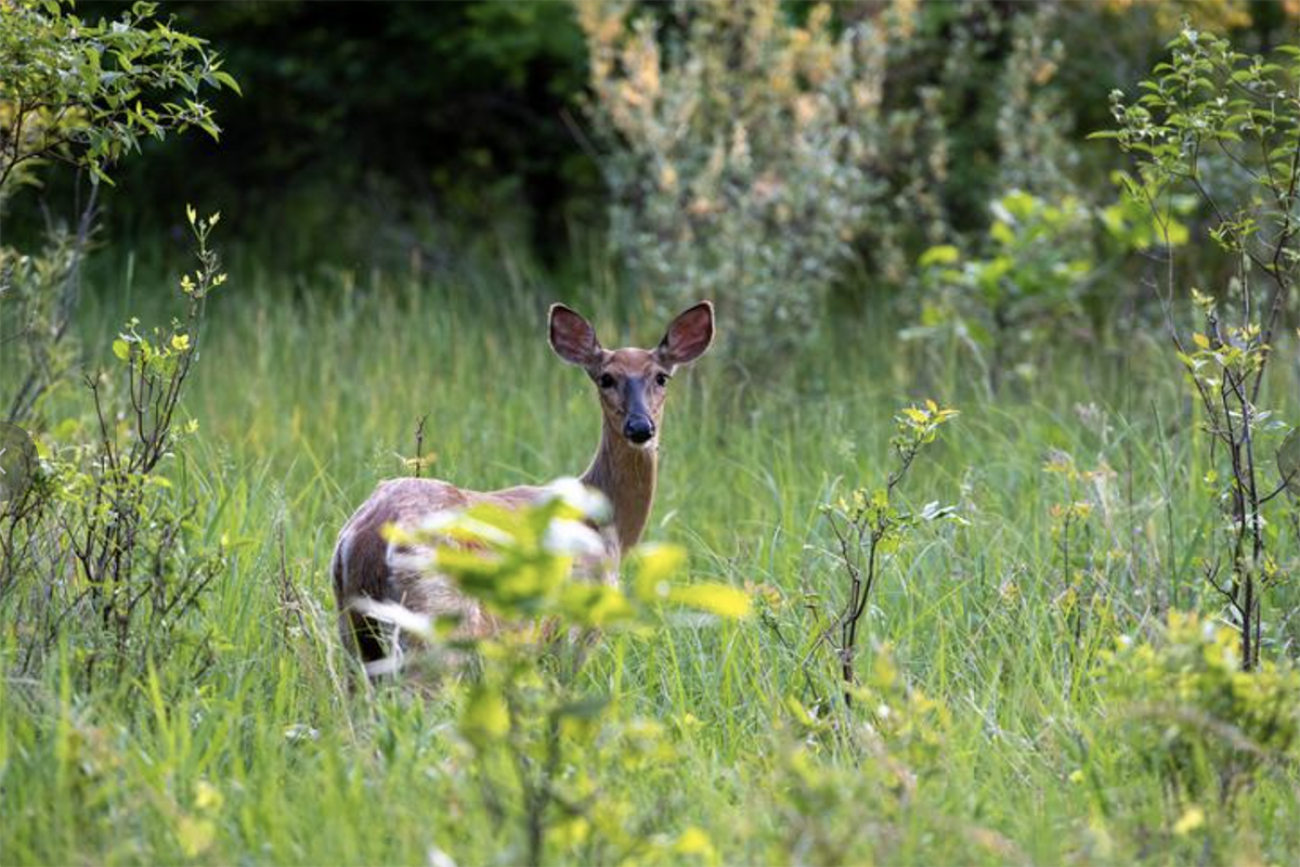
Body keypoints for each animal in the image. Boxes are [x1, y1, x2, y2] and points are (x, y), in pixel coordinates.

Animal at [325, 300, 712, 670]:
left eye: (662, 377)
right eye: (606, 378)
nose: (640, 427)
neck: (608, 525)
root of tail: (366, 537)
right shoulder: (575, 623)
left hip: (354, 630)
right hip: (436, 619)